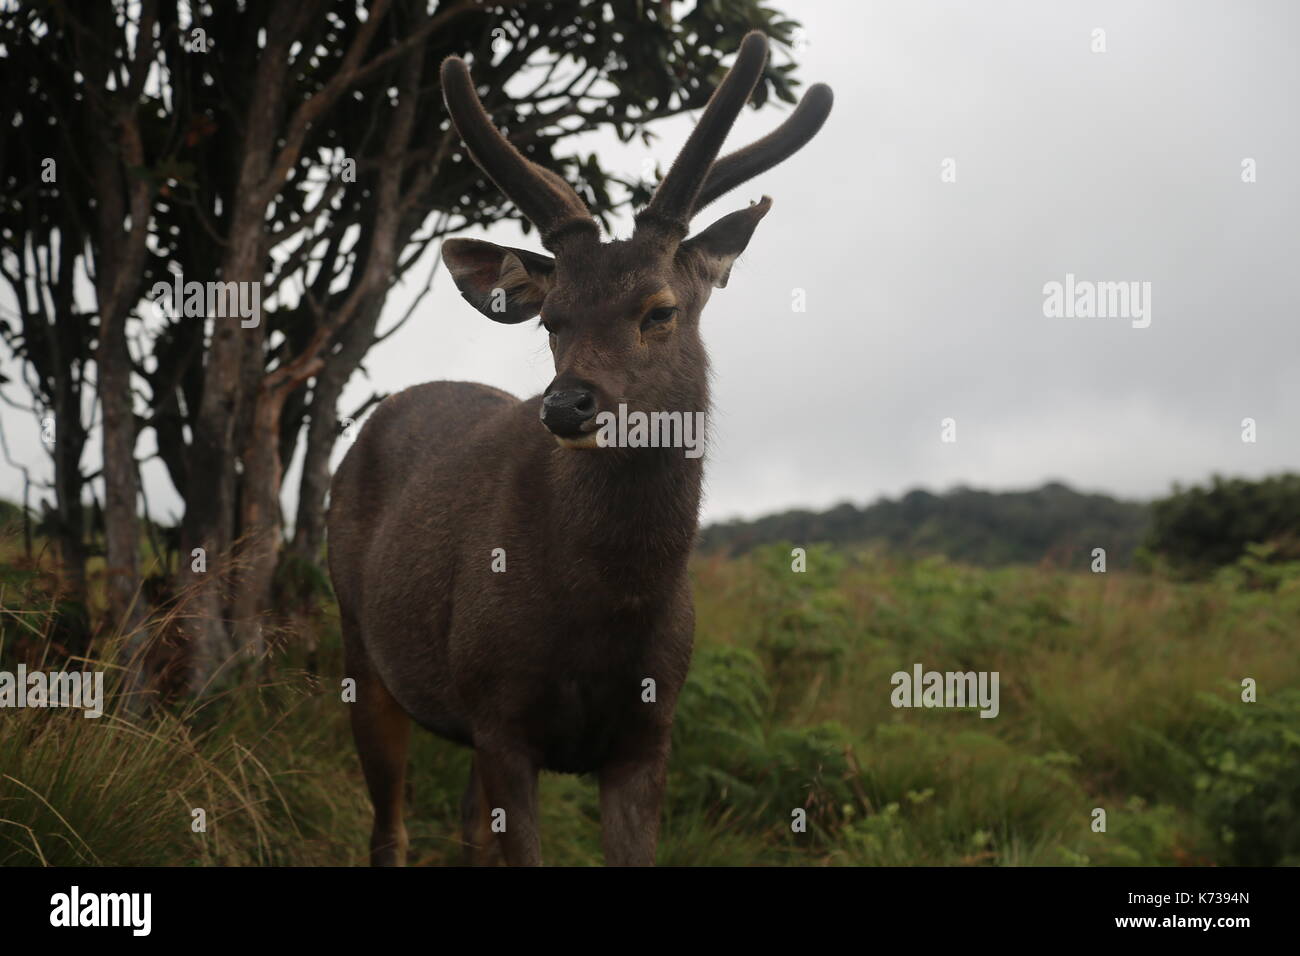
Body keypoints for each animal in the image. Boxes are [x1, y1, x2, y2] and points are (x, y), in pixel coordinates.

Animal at [325, 29, 832, 868]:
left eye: (659, 309)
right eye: (550, 318)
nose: (566, 404)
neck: (607, 610)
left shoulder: (648, 733)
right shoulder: (501, 714)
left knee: (465, 827)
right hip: (360, 643)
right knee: (388, 827)